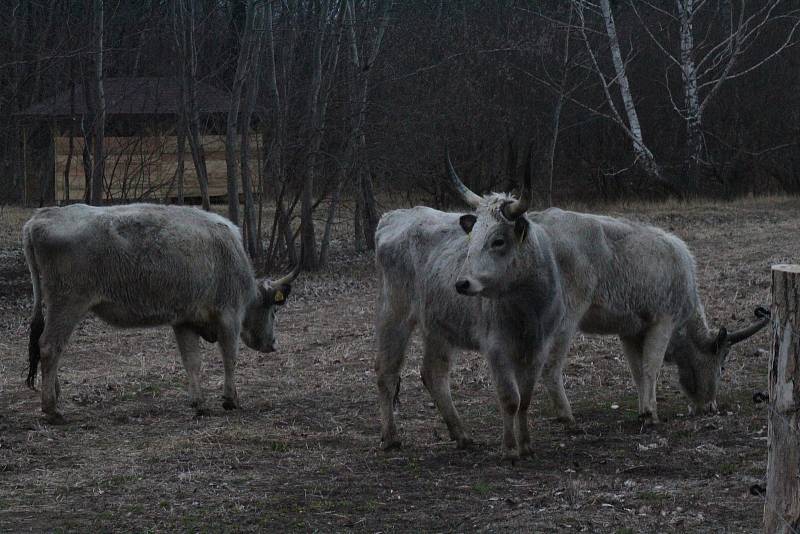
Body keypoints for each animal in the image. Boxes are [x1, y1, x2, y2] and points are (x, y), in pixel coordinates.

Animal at [25, 203, 300, 426]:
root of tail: (39, 218)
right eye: (274, 310)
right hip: (68, 305)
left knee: (47, 347)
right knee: (49, 346)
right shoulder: (229, 318)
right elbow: (230, 357)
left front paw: (199, 403)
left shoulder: (184, 321)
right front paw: (231, 400)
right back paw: (52, 409)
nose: (273, 343)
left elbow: (192, 361)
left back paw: (55, 395)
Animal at [376, 151, 768, 460]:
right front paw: (651, 413)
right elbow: (652, 366)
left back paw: (462, 435)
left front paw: (643, 409)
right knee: (388, 373)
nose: (709, 406)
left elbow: (637, 369)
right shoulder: (663, 319)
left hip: (438, 328)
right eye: (721, 363)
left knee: (434, 374)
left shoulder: (630, 330)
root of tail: (394, 216)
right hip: (398, 317)